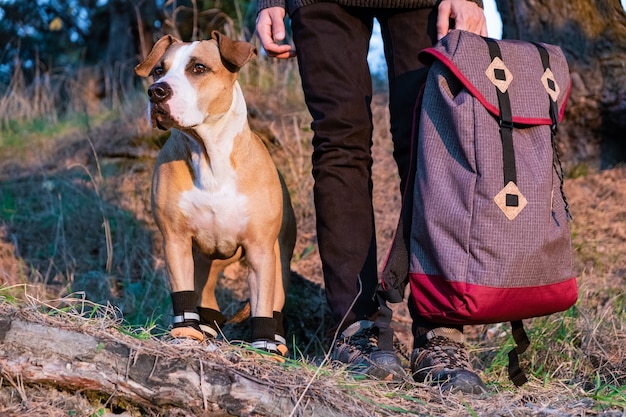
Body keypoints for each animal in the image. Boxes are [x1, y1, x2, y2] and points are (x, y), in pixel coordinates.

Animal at [134, 30, 294, 354]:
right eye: (158, 70)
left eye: (198, 68)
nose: (156, 92)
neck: (209, 154)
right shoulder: (175, 239)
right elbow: (183, 290)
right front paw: (185, 332)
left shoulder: (260, 249)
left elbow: (262, 302)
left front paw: (263, 346)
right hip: (205, 258)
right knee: (203, 291)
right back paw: (204, 324)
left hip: (280, 257)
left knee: (275, 298)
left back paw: (277, 342)